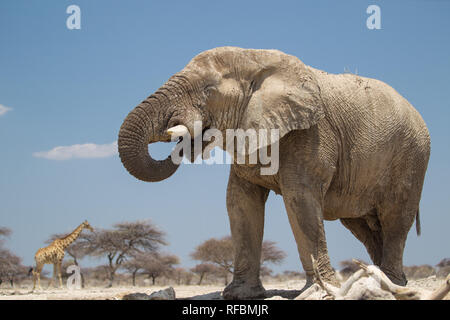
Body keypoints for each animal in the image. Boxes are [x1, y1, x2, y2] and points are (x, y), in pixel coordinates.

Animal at [118, 47, 430, 300]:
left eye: (208, 90)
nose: (184, 140)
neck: (255, 59)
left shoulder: (311, 134)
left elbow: (299, 200)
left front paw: (318, 292)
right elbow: (240, 202)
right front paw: (240, 294)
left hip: (412, 157)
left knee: (395, 218)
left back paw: (390, 282)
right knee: (364, 227)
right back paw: (382, 281)